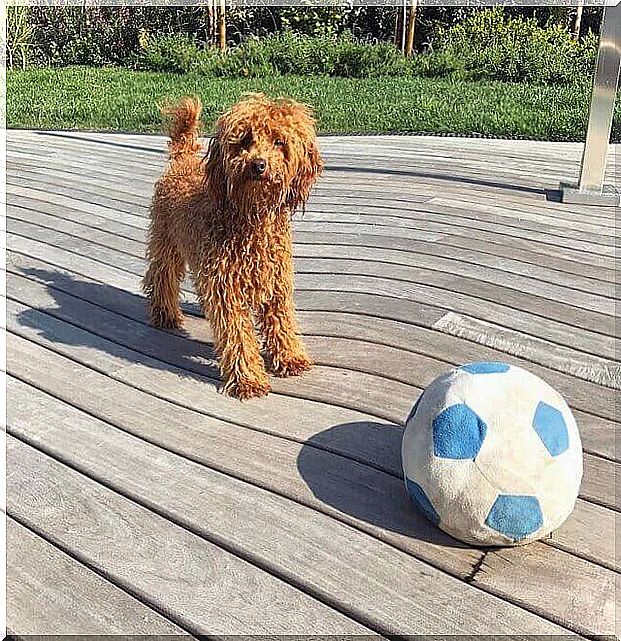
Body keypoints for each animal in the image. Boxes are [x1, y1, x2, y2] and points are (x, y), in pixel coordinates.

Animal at [142, 93, 322, 398]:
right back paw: (165, 314)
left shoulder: (277, 283)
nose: (257, 165)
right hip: (167, 241)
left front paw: (290, 358)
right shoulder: (227, 289)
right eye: (245, 140)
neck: (251, 220)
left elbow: (282, 321)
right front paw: (248, 379)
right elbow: (238, 336)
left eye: (279, 142)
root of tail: (184, 156)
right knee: (161, 276)